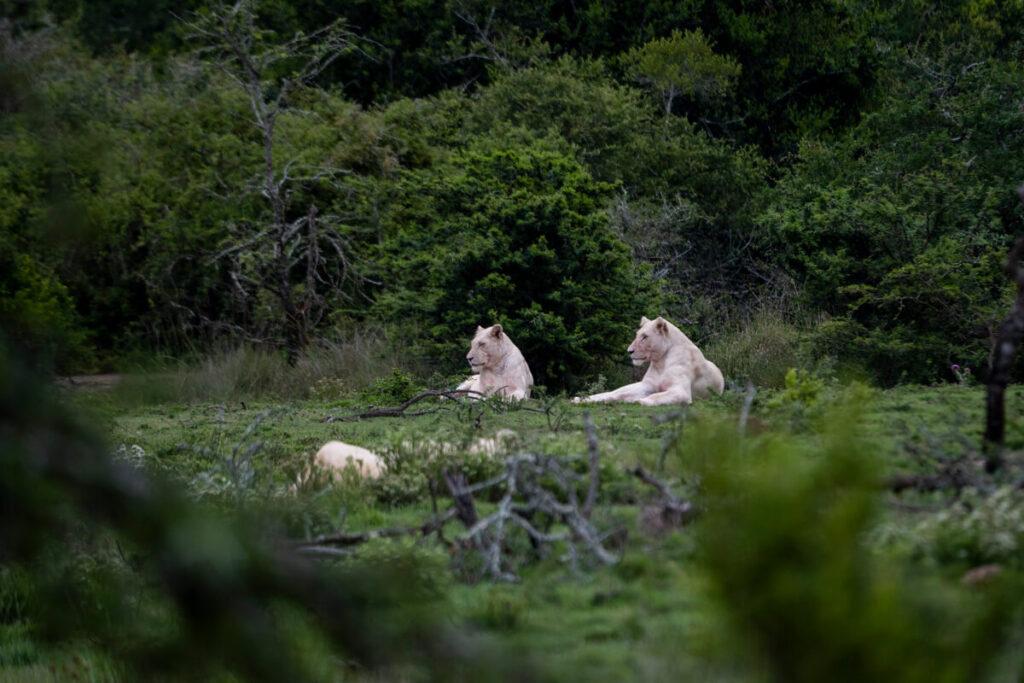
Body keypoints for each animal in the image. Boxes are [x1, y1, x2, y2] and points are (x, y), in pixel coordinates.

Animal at [573, 316, 724, 406]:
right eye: (637, 335)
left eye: (645, 337)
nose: (629, 351)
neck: (661, 362)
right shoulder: (647, 385)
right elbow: (621, 393)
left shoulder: (682, 392)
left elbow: (654, 397)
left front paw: (637, 401)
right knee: (613, 392)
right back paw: (579, 399)